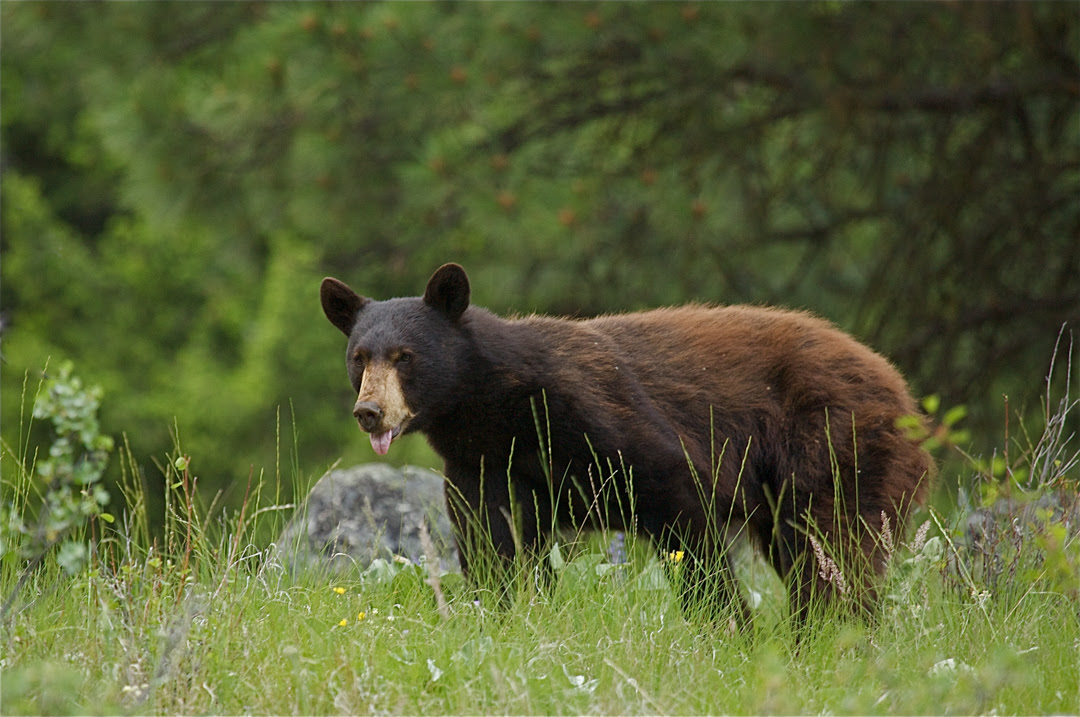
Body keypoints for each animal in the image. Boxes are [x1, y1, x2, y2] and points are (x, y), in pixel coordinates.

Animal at [317, 264, 928, 626]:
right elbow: (494, 545)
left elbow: (683, 507)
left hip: (832, 443)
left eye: (405, 356)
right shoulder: (482, 463)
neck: (498, 406)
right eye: (359, 358)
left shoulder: (604, 420)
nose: (370, 412)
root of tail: (900, 388)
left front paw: (729, 628)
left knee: (831, 547)